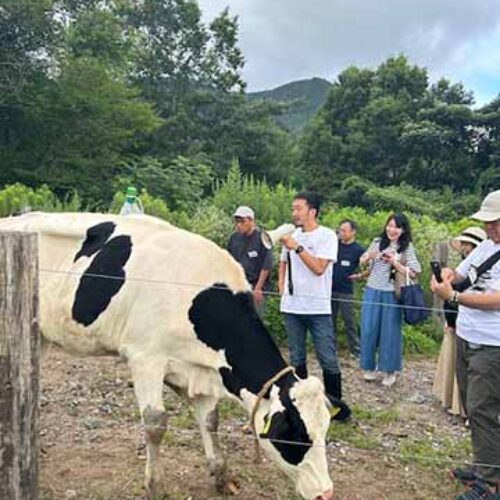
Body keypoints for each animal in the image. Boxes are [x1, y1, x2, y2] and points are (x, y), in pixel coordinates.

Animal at [0, 212, 336, 500]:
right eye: (296, 436)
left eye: (324, 430)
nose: (326, 492)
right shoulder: (145, 358)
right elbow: (155, 424)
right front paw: (155, 485)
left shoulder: (200, 369)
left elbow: (210, 420)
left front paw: (222, 475)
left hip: (39, 335)